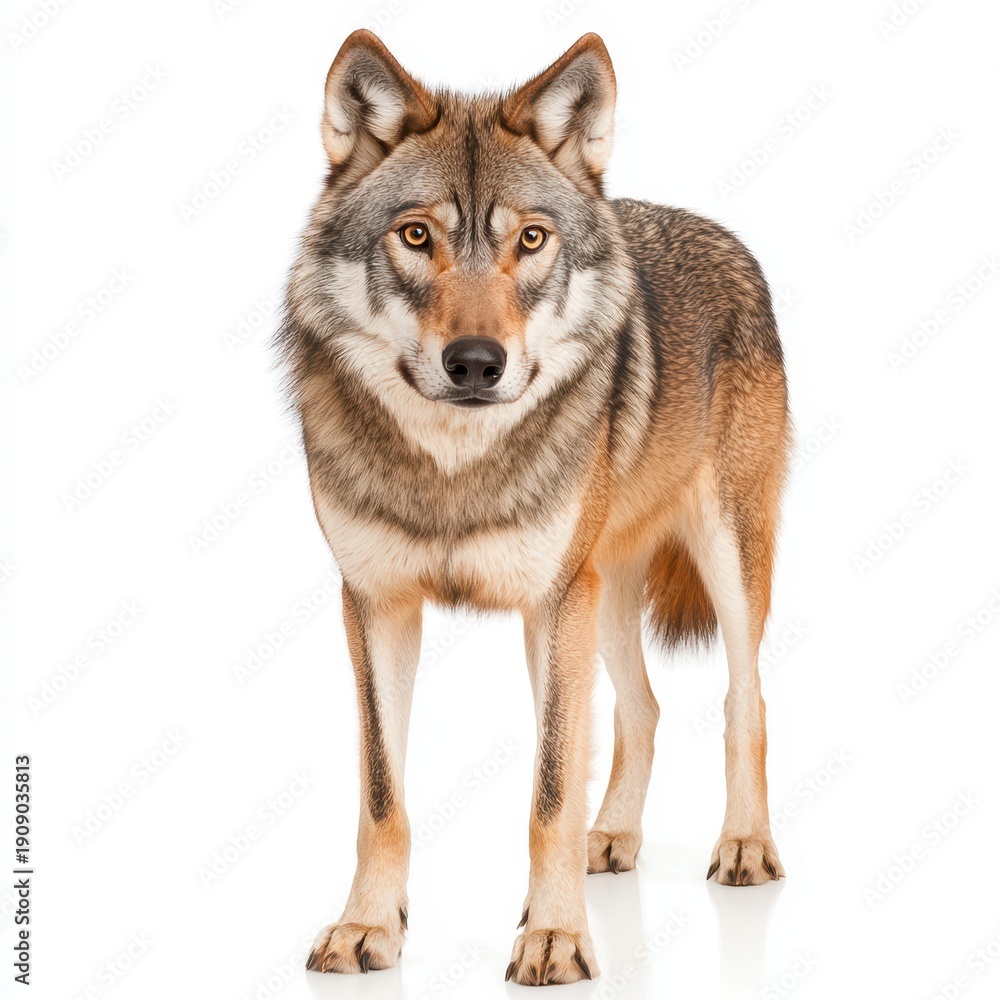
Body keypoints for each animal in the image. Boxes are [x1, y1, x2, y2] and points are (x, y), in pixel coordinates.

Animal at [280, 30, 790, 985]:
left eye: (530, 239)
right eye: (416, 235)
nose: (477, 362)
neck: (454, 467)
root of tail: (723, 234)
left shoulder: (556, 603)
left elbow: (549, 792)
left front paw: (555, 937)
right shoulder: (375, 605)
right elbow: (382, 793)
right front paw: (369, 927)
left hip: (717, 567)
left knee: (746, 702)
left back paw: (744, 846)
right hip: (601, 595)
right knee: (641, 709)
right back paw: (612, 839)